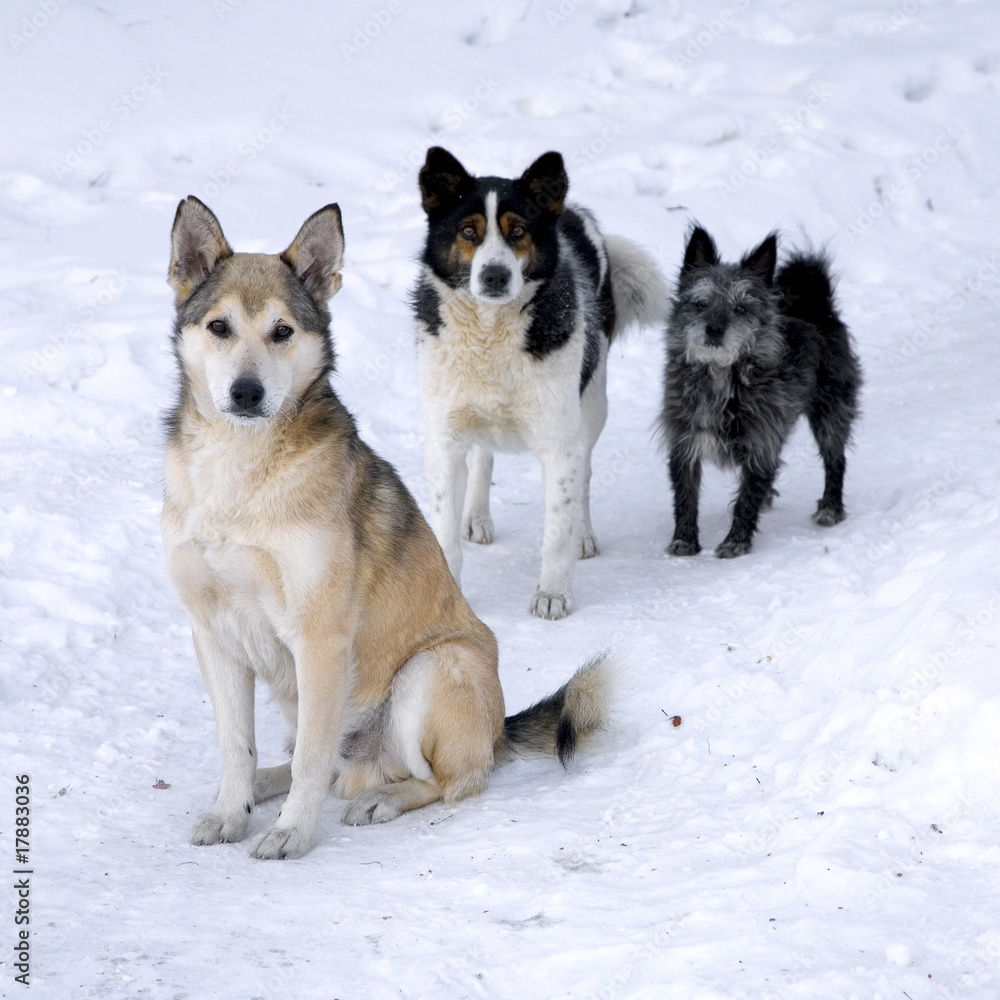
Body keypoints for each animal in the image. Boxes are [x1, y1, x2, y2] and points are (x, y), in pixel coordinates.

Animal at [163, 197, 612, 860]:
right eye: (219, 327)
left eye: (282, 332)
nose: (246, 393)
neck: (242, 475)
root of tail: (497, 732)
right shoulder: (214, 634)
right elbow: (236, 749)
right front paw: (230, 811)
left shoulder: (320, 639)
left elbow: (312, 763)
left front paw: (292, 833)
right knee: (320, 761)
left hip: (430, 670)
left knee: (447, 781)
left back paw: (381, 799)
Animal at [410, 146, 668, 616]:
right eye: (469, 231)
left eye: (519, 232)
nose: (494, 275)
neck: (491, 335)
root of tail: (572, 210)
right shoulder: (444, 439)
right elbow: (444, 532)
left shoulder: (560, 441)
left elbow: (558, 527)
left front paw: (553, 592)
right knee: (483, 456)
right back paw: (477, 515)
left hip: (593, 403)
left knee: (584, 474)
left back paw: (584, 533)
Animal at [660, 225, 864, 564]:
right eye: (700, 303)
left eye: (740, 308)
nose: (714, 330)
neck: (722, 373)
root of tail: (817, 310)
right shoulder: (685, 442)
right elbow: (686, 496)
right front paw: (684, 540)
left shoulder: (761, 442)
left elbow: (746, 499)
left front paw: (736, 542)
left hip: (830, 415)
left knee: (836, 460)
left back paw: (831, 508)